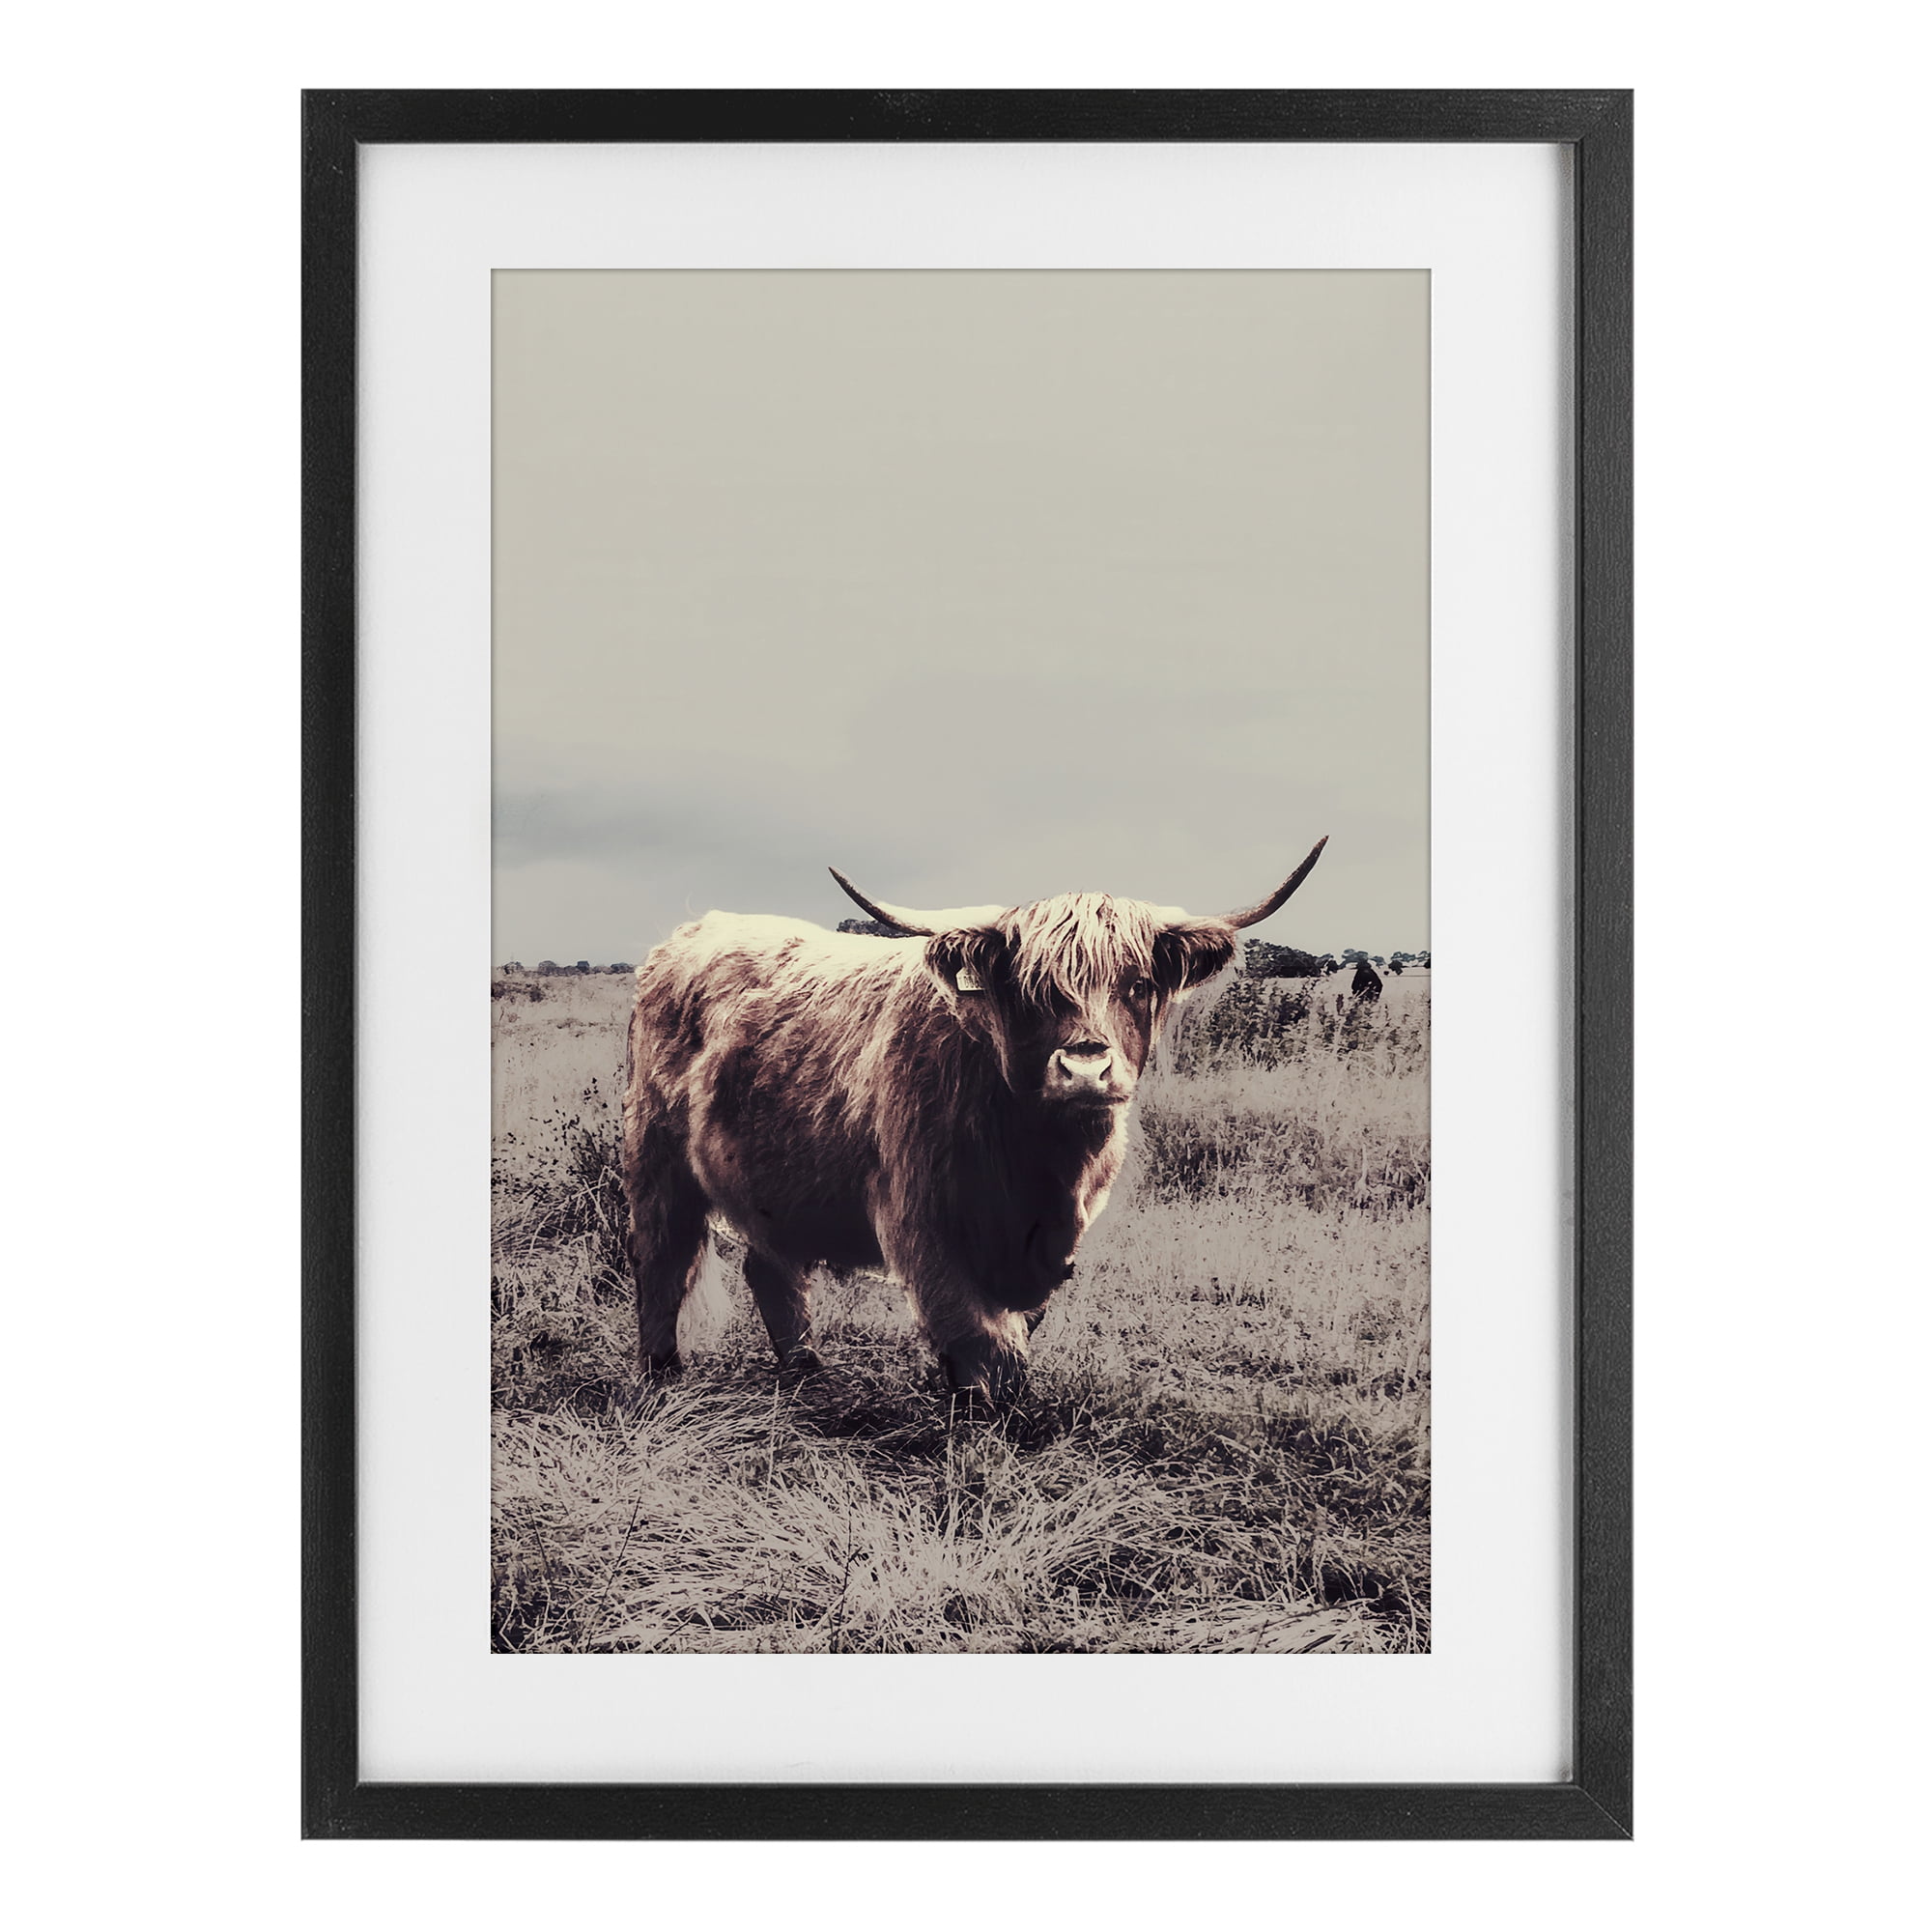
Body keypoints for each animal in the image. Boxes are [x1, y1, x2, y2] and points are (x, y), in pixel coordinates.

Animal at [619, 837, 1327, 1400]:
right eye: (1030, 991)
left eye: (1138, 985)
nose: (1086, 1070)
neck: (1039, 1162)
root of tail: (691, 933)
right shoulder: (922, 1222)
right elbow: (978, 1336)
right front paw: (982, 1419)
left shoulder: (1052, 1243)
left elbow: (1017, 1328)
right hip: (656, 1159)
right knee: (662, 1260)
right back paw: (661, 1374)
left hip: (771, 1182)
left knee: (771, 1270)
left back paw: (807, 1373)